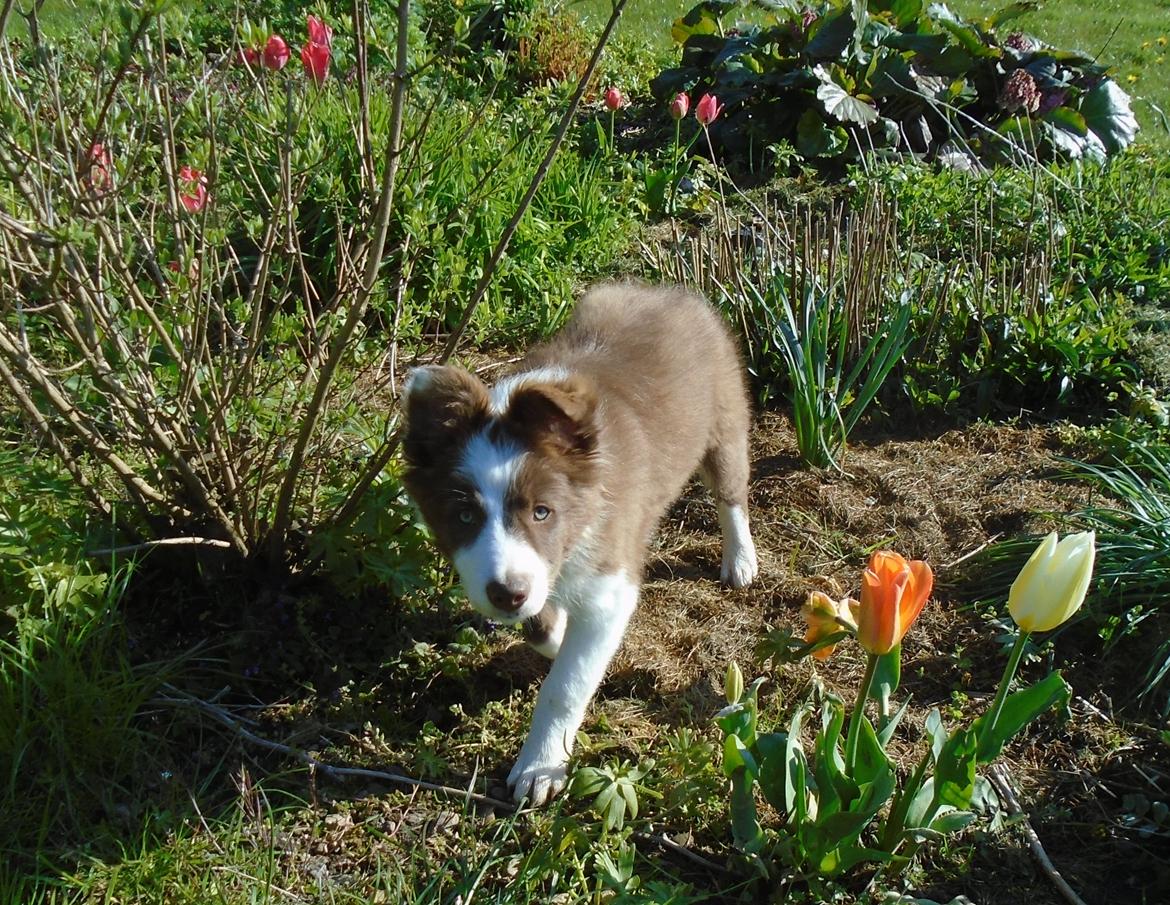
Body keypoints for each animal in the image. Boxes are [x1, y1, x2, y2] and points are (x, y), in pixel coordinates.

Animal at [402, 285, 758, 809]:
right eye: (464, 516)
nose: (506, 595)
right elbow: (545, 629)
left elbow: (565, 685)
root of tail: (670, 292)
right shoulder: (540, 577)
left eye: (542, 511)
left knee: (731, 493)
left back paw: (740, 560)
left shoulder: (611, 583)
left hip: (725, 421)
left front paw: (539, 767)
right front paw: (555, 631)